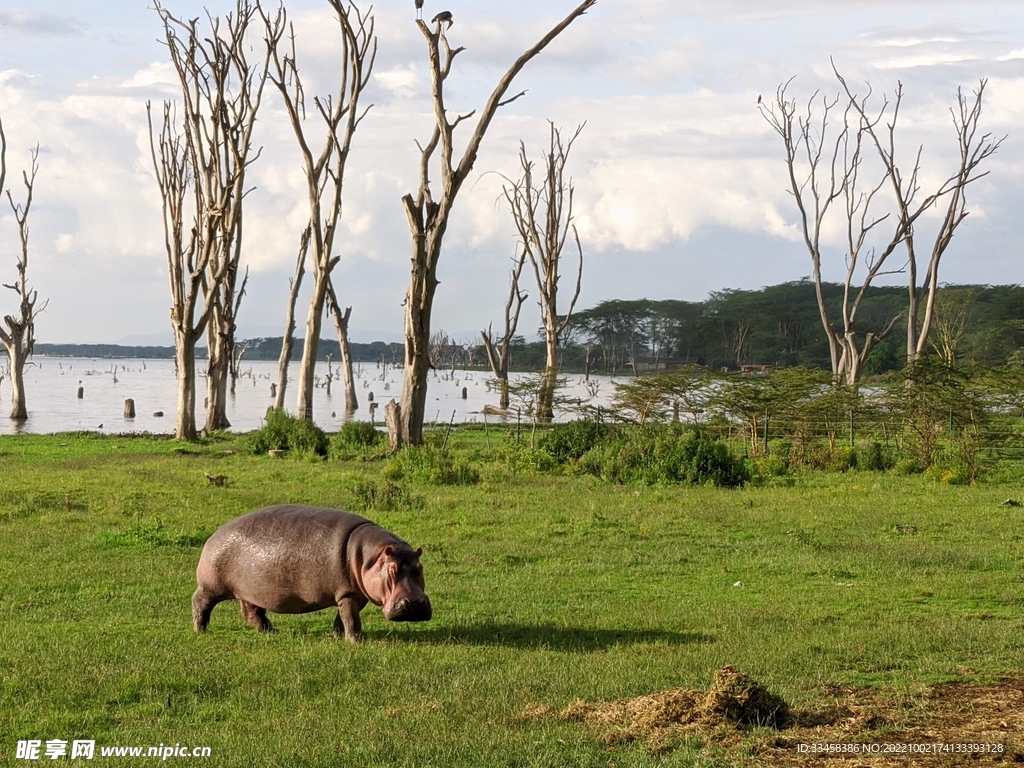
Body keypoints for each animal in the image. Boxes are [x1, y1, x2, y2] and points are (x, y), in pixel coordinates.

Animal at [192, 505, 432, 643]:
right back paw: (201, 631)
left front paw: (337, 635)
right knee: (200, 603)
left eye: (419, 568)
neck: (370, 557)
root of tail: (212, 537)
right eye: (392, 570)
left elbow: (343, 617)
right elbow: (351, 619)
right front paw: (356, 642)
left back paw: (271, 631)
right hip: (211, 586)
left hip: (250, 591)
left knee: (251, 612)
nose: (415, 603)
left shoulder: (352, 594)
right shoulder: (347, 594)